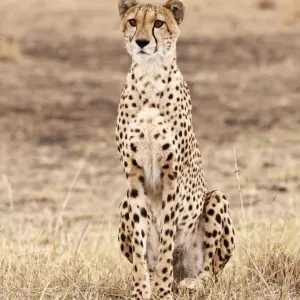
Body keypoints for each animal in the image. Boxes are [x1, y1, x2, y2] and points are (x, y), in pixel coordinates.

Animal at [116, 1, 236, 298]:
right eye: (133, 22)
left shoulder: (171, 176)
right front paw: (142, 290)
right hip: (123, 203)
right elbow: (140, 250)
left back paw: (192, 281)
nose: (142, 42)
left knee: (210, 271)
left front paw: (161, 291)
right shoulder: (133, 177)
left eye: (158, 23)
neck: (150, 75)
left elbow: (167, 241)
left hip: (216, 199)